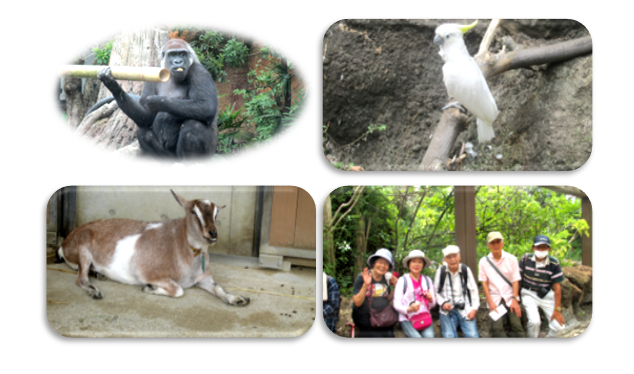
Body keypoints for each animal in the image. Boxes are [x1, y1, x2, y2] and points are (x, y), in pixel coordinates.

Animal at [56, 190, 249, 306]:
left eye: (216, 214)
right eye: (193, 212)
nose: (213, 233)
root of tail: (63, 245)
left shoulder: (204, 278)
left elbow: (218, 288)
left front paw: (238, 298)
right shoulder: (148, 273)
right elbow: (178, 290)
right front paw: (149, 288)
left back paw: (100, 274)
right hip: (83, 250)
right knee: (80, 279)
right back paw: (95, 291)